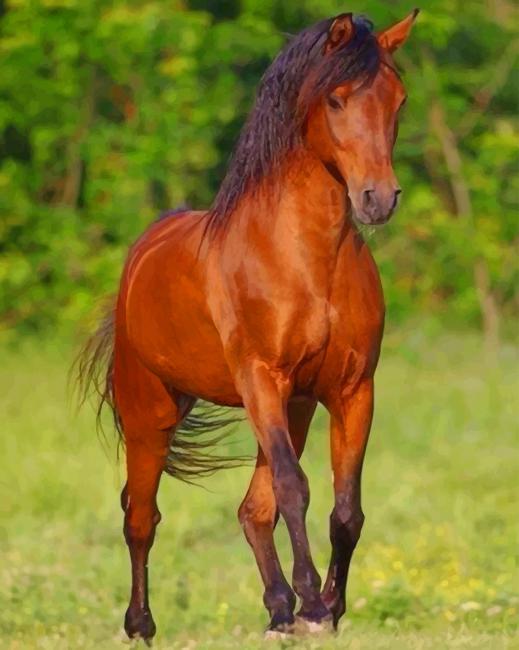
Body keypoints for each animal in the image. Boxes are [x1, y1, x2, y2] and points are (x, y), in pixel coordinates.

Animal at [77, 10, 418, 641]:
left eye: (398, 99)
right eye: (336, 98)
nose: (378, 199)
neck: (307, 259)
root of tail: (141, 255)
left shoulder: (351, 390)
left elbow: (344, 509)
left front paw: (326, 609)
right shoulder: (262, 379)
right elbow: (294, 488)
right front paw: (314, 606)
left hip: (292, 409)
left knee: (250, 511)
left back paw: (279, 612)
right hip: (151, 413)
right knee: (141, 516)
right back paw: (141, 624)